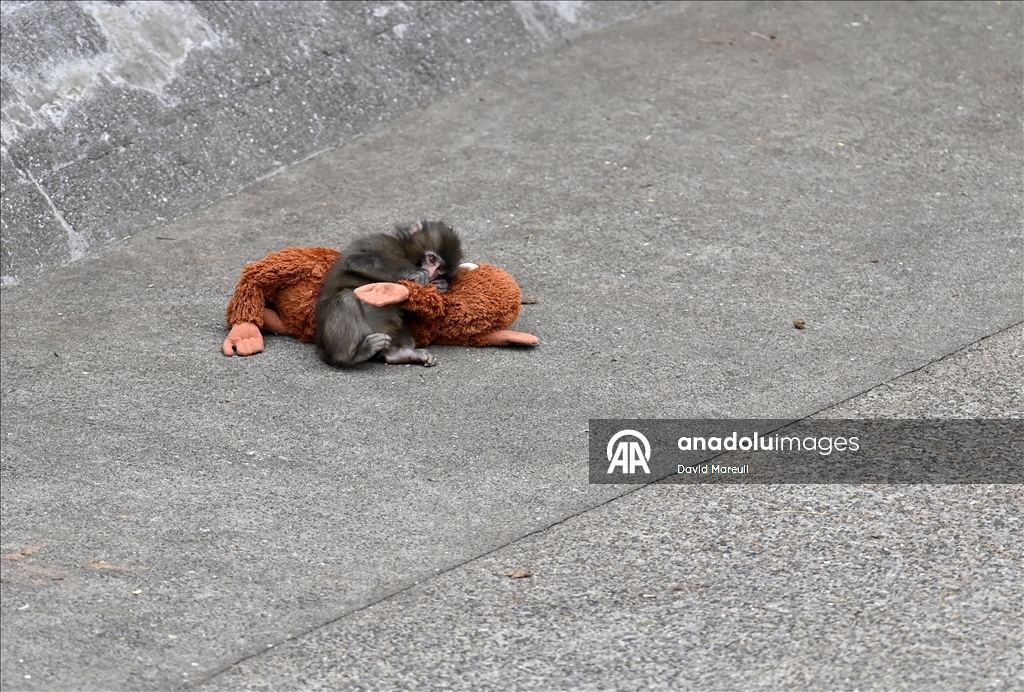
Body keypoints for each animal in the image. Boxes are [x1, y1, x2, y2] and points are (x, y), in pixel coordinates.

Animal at [315, 221, 463, 367]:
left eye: (441, 268)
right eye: (431, 259)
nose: (432, 274)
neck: (404, 252)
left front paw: (442, 285)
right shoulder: (382, 241)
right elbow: (355, 260)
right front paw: (413, 272)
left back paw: (397, 354)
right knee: (346, 298)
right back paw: (352, 356)